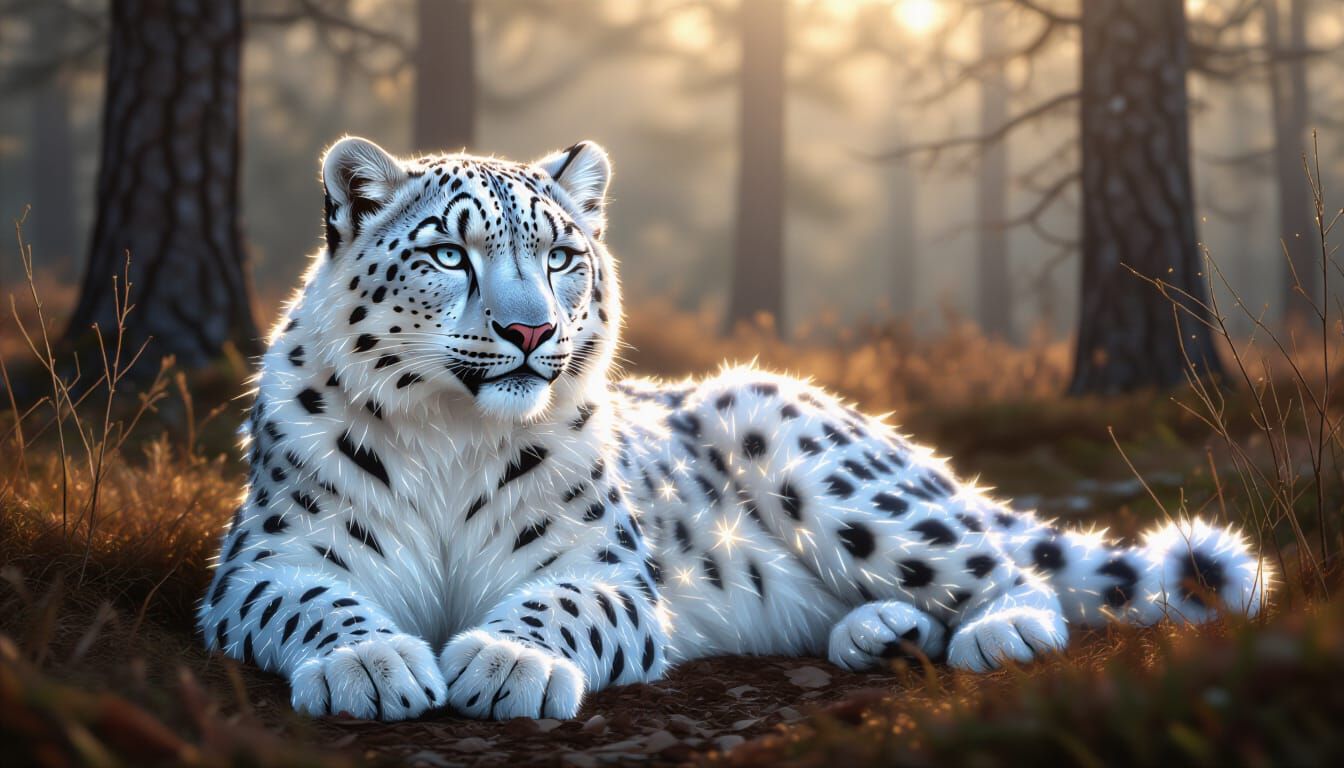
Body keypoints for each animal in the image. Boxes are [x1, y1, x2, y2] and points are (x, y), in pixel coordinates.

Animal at [198, 136, 1270, 722]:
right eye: (449, 253)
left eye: (561, 256)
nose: (532, 330)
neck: (453, 437)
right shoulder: (262, 564)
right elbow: (311, 602)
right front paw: (369, 666)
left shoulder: (606, 568)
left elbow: (561, 603)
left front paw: (505, 662)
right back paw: (880, 632)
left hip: (836, 478)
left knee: (1007, 564)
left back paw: (996, 631)